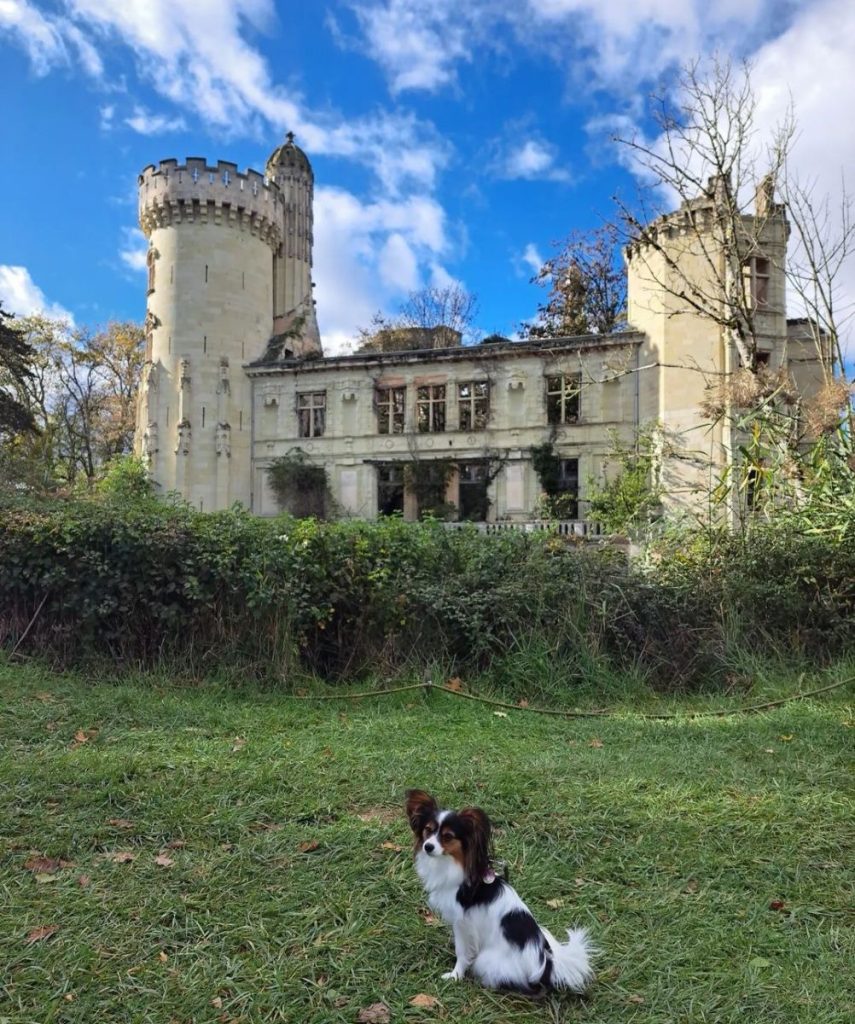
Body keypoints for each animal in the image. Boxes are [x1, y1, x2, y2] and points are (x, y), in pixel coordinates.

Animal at [403, 786, 593, 995]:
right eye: (428, 831)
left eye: (448, 837)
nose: (428, 846)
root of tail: (547, 966)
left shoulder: (462, 924)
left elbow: (462, 952)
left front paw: (455, 976)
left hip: (487, 959)